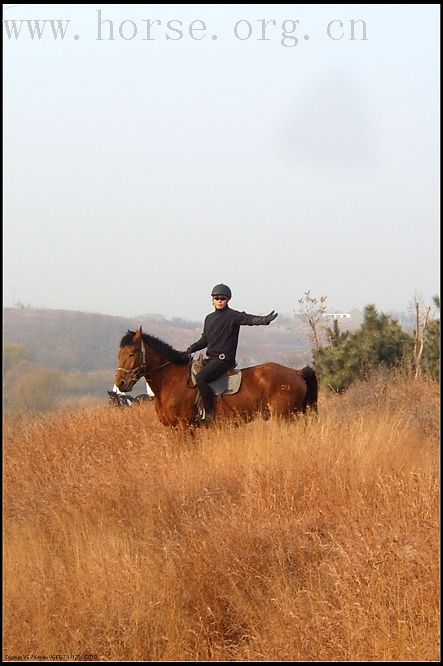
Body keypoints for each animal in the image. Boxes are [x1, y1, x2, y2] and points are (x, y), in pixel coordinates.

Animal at [115, 326, 320, 428]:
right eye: (119, 354)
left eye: (132, 354)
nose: (121, 383)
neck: (170, 381)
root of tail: (296, 372)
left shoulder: (184, 427)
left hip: (285, 418)